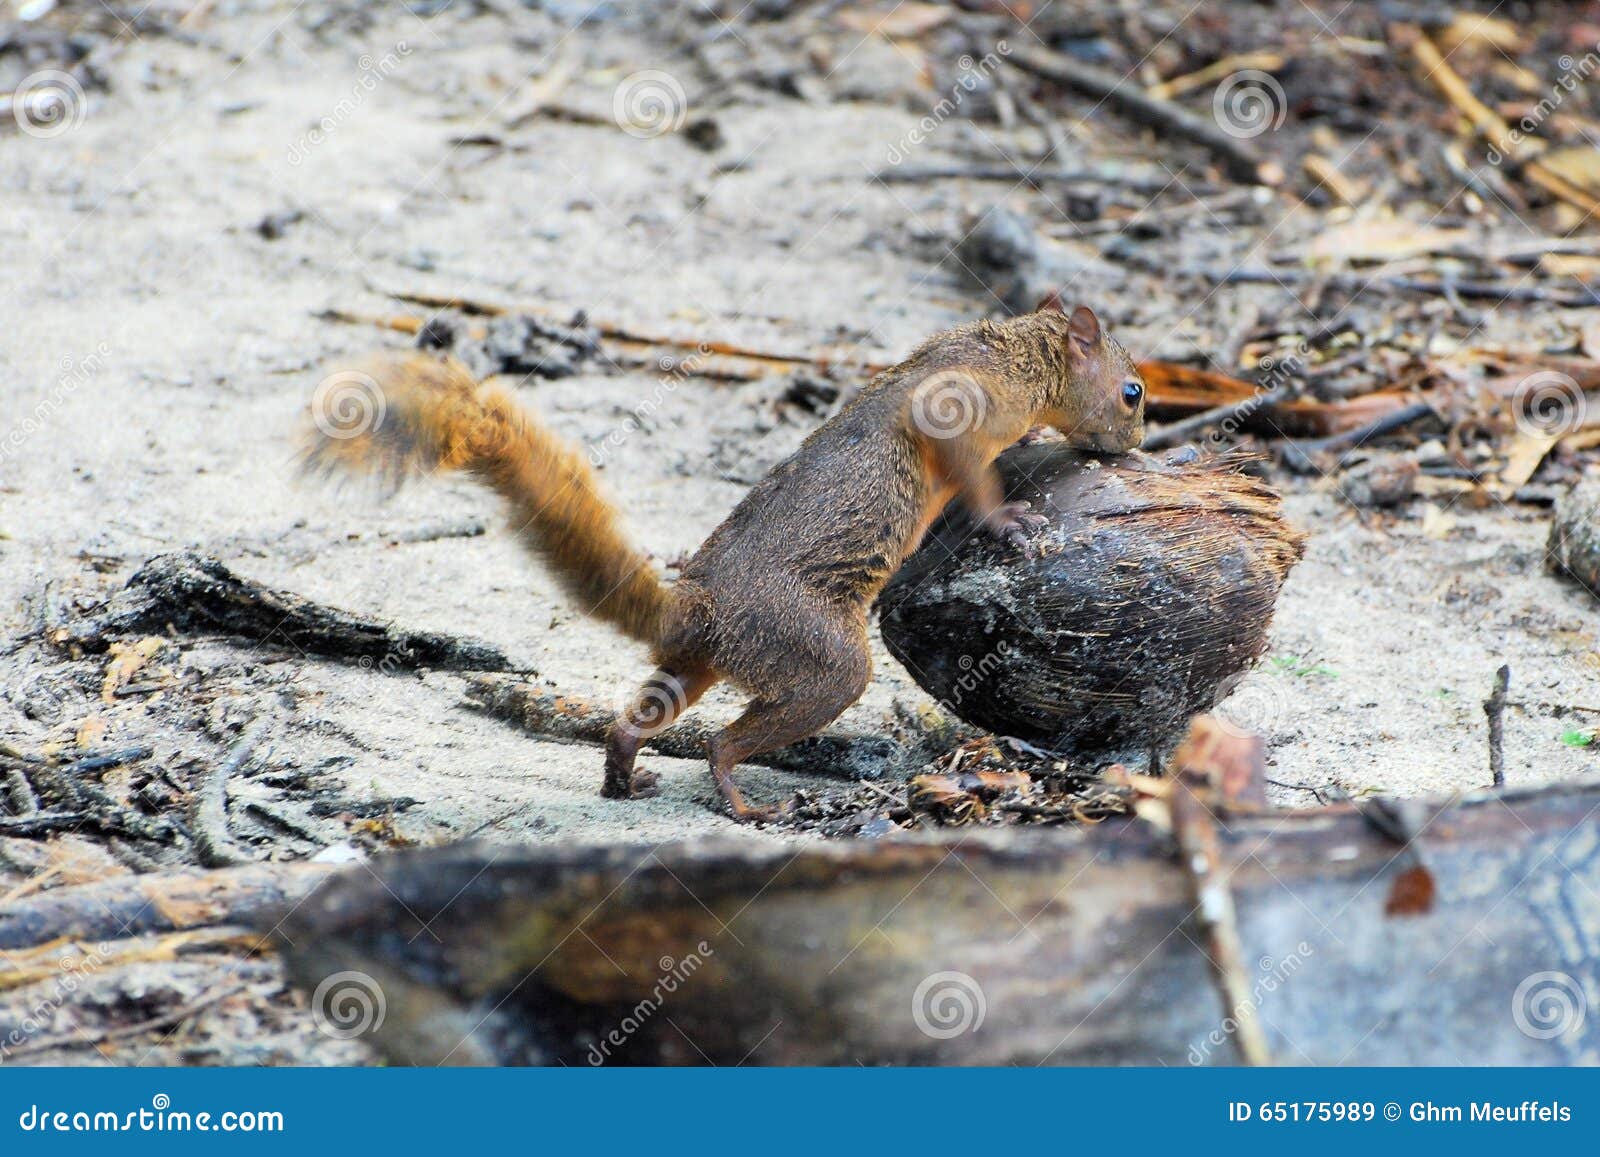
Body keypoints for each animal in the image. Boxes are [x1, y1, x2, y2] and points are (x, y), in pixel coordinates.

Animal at [300, 300, 1145, 825]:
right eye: (1134, 391)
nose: (1135, 446)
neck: (1013, 349)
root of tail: (696, 606)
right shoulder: (954, 407)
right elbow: (970, 468)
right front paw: (1009, 515)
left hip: (697, 664)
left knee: (633, 721)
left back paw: (623, 779)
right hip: (820, 659)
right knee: (721, 742)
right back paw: (740, 800)